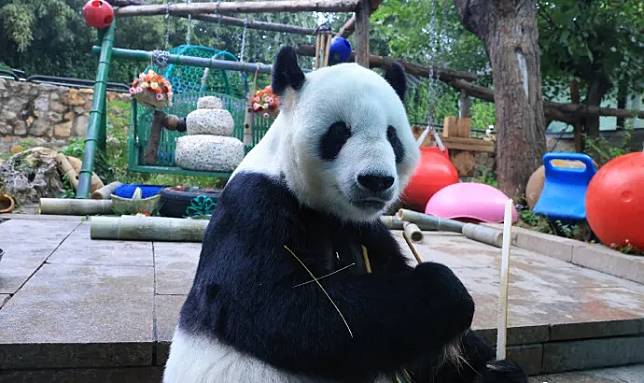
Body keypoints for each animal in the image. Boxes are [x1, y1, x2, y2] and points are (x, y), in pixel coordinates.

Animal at [164, 45, 524, 383]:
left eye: (392, 136)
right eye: (339, 132)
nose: (376, 180)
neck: (321, 205)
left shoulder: (363, 228)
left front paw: (488, 362)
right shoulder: (254, 207)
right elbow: (287, 310)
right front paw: (446, 290)